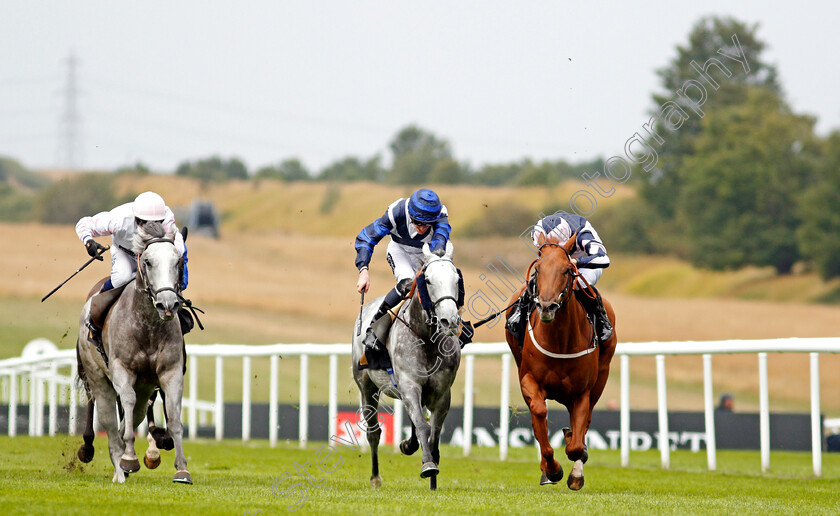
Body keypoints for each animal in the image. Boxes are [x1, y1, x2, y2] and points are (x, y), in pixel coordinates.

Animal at [76, 221, 192, 484]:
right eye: (147, 261)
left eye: (178, 262)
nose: (168, 304)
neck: (148, 326)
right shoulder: (122, 370)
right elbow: (126, 403)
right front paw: (129, 458)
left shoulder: (170, 373)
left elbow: (174, 417)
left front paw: (181, 469)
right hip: (97, 377)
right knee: (108, 421)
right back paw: (115, 466)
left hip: (145, 387)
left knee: (131, 417)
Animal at [352, 242, 462, 492]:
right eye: (428, 280)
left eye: (456, 279)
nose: (449, 321)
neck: (427, 339)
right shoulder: (410, 385)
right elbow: (423, 426)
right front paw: (428, 465)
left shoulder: (442, 393)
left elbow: (434, 432)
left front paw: (433, 476)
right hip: (366, 387)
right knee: (373, 432)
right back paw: (375, 477)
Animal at [506, 232, 616, 490]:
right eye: (538, 268)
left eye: (567, 269)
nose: (547, 306)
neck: (560, 340)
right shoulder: (529, 380)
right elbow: (539, 414)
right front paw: (551, 468)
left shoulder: (582, 392)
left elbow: (576, 444)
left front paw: (575, 466)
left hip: (601, 379)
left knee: (584, 423)